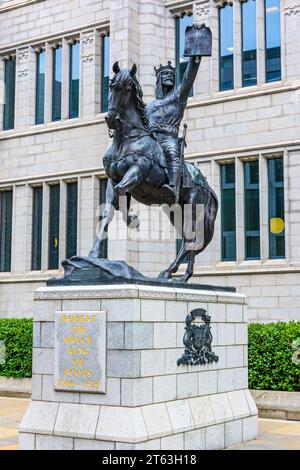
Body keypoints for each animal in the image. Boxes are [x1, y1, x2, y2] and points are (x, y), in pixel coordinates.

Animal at [89, 63, 218, 282]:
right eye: (111, 85)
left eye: (127, 87)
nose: (111, 119)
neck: (127, 139)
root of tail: (207, 185)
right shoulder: (112, 180)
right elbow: (108, 211)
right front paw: (94, 254)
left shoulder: (137, 172)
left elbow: (122, 191)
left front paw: (133, 219)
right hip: (175, 211)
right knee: (188, 239)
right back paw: (175, 274)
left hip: (193, 207)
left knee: (192, 238)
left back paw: (176, 274)